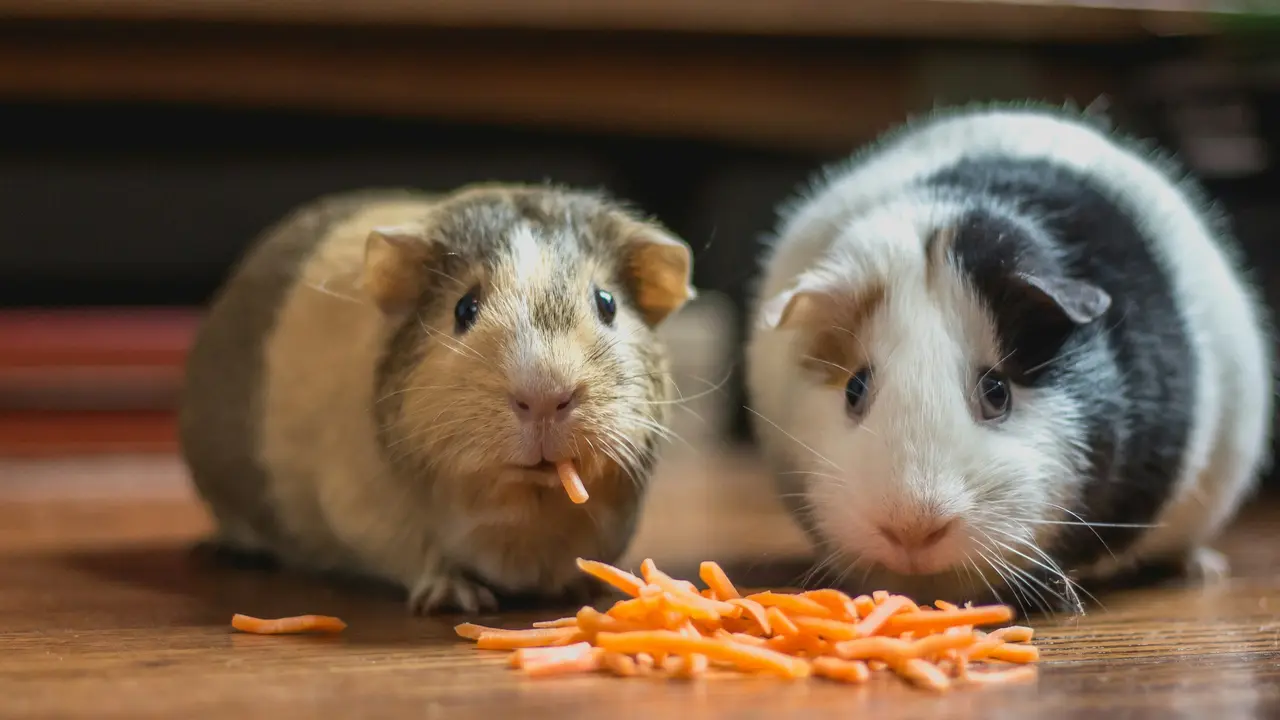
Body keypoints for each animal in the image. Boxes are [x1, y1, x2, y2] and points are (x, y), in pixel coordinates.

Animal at [178, 184, 696, 614]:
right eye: (464, 308)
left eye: (607, 303)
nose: (545, 396)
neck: (527, 510)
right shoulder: (370, 518)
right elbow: (427, 557)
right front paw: (459, 600)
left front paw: (583, 588)